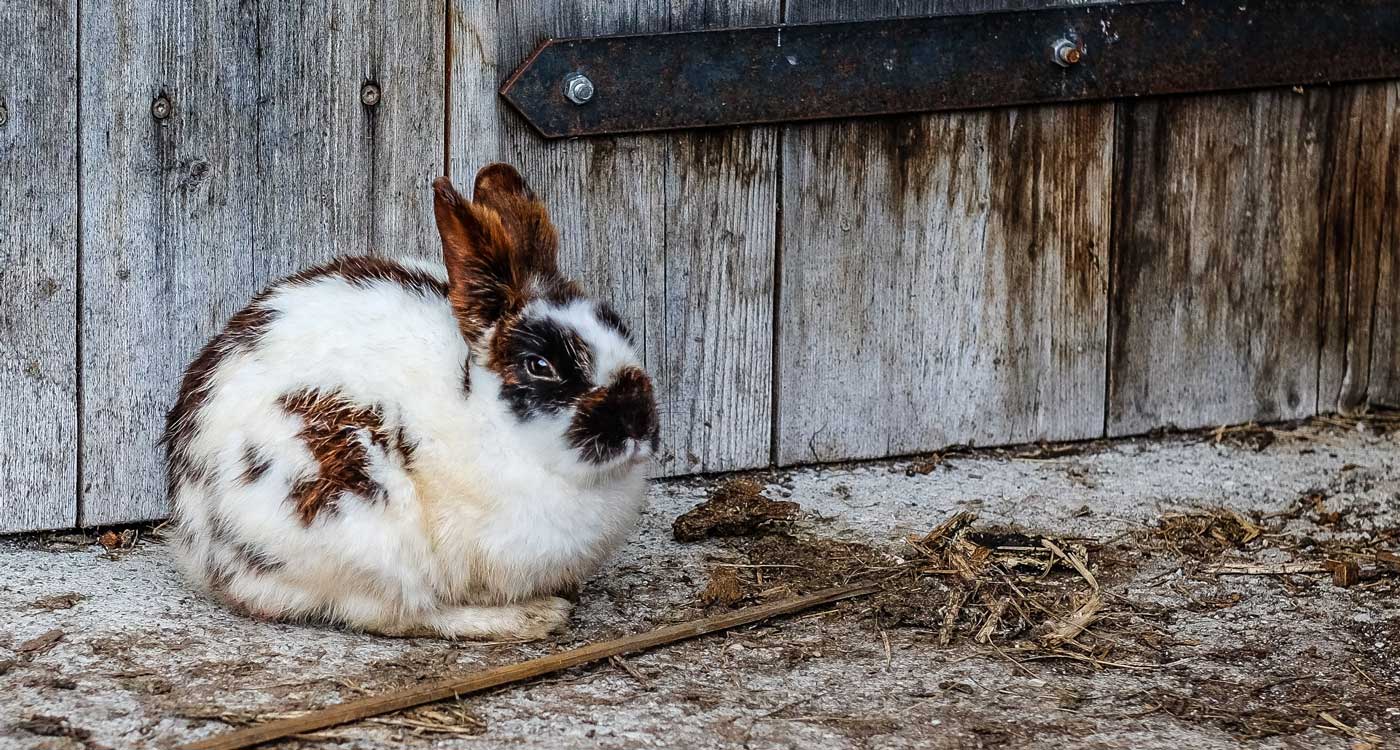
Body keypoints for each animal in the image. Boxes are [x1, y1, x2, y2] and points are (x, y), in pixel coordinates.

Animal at [163, 163, 660, 638]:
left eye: (621, 328)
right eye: (540, 365)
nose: (638, 421)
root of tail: (199, 541)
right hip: (360, 517)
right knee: (398, 613)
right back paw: (530, 618)